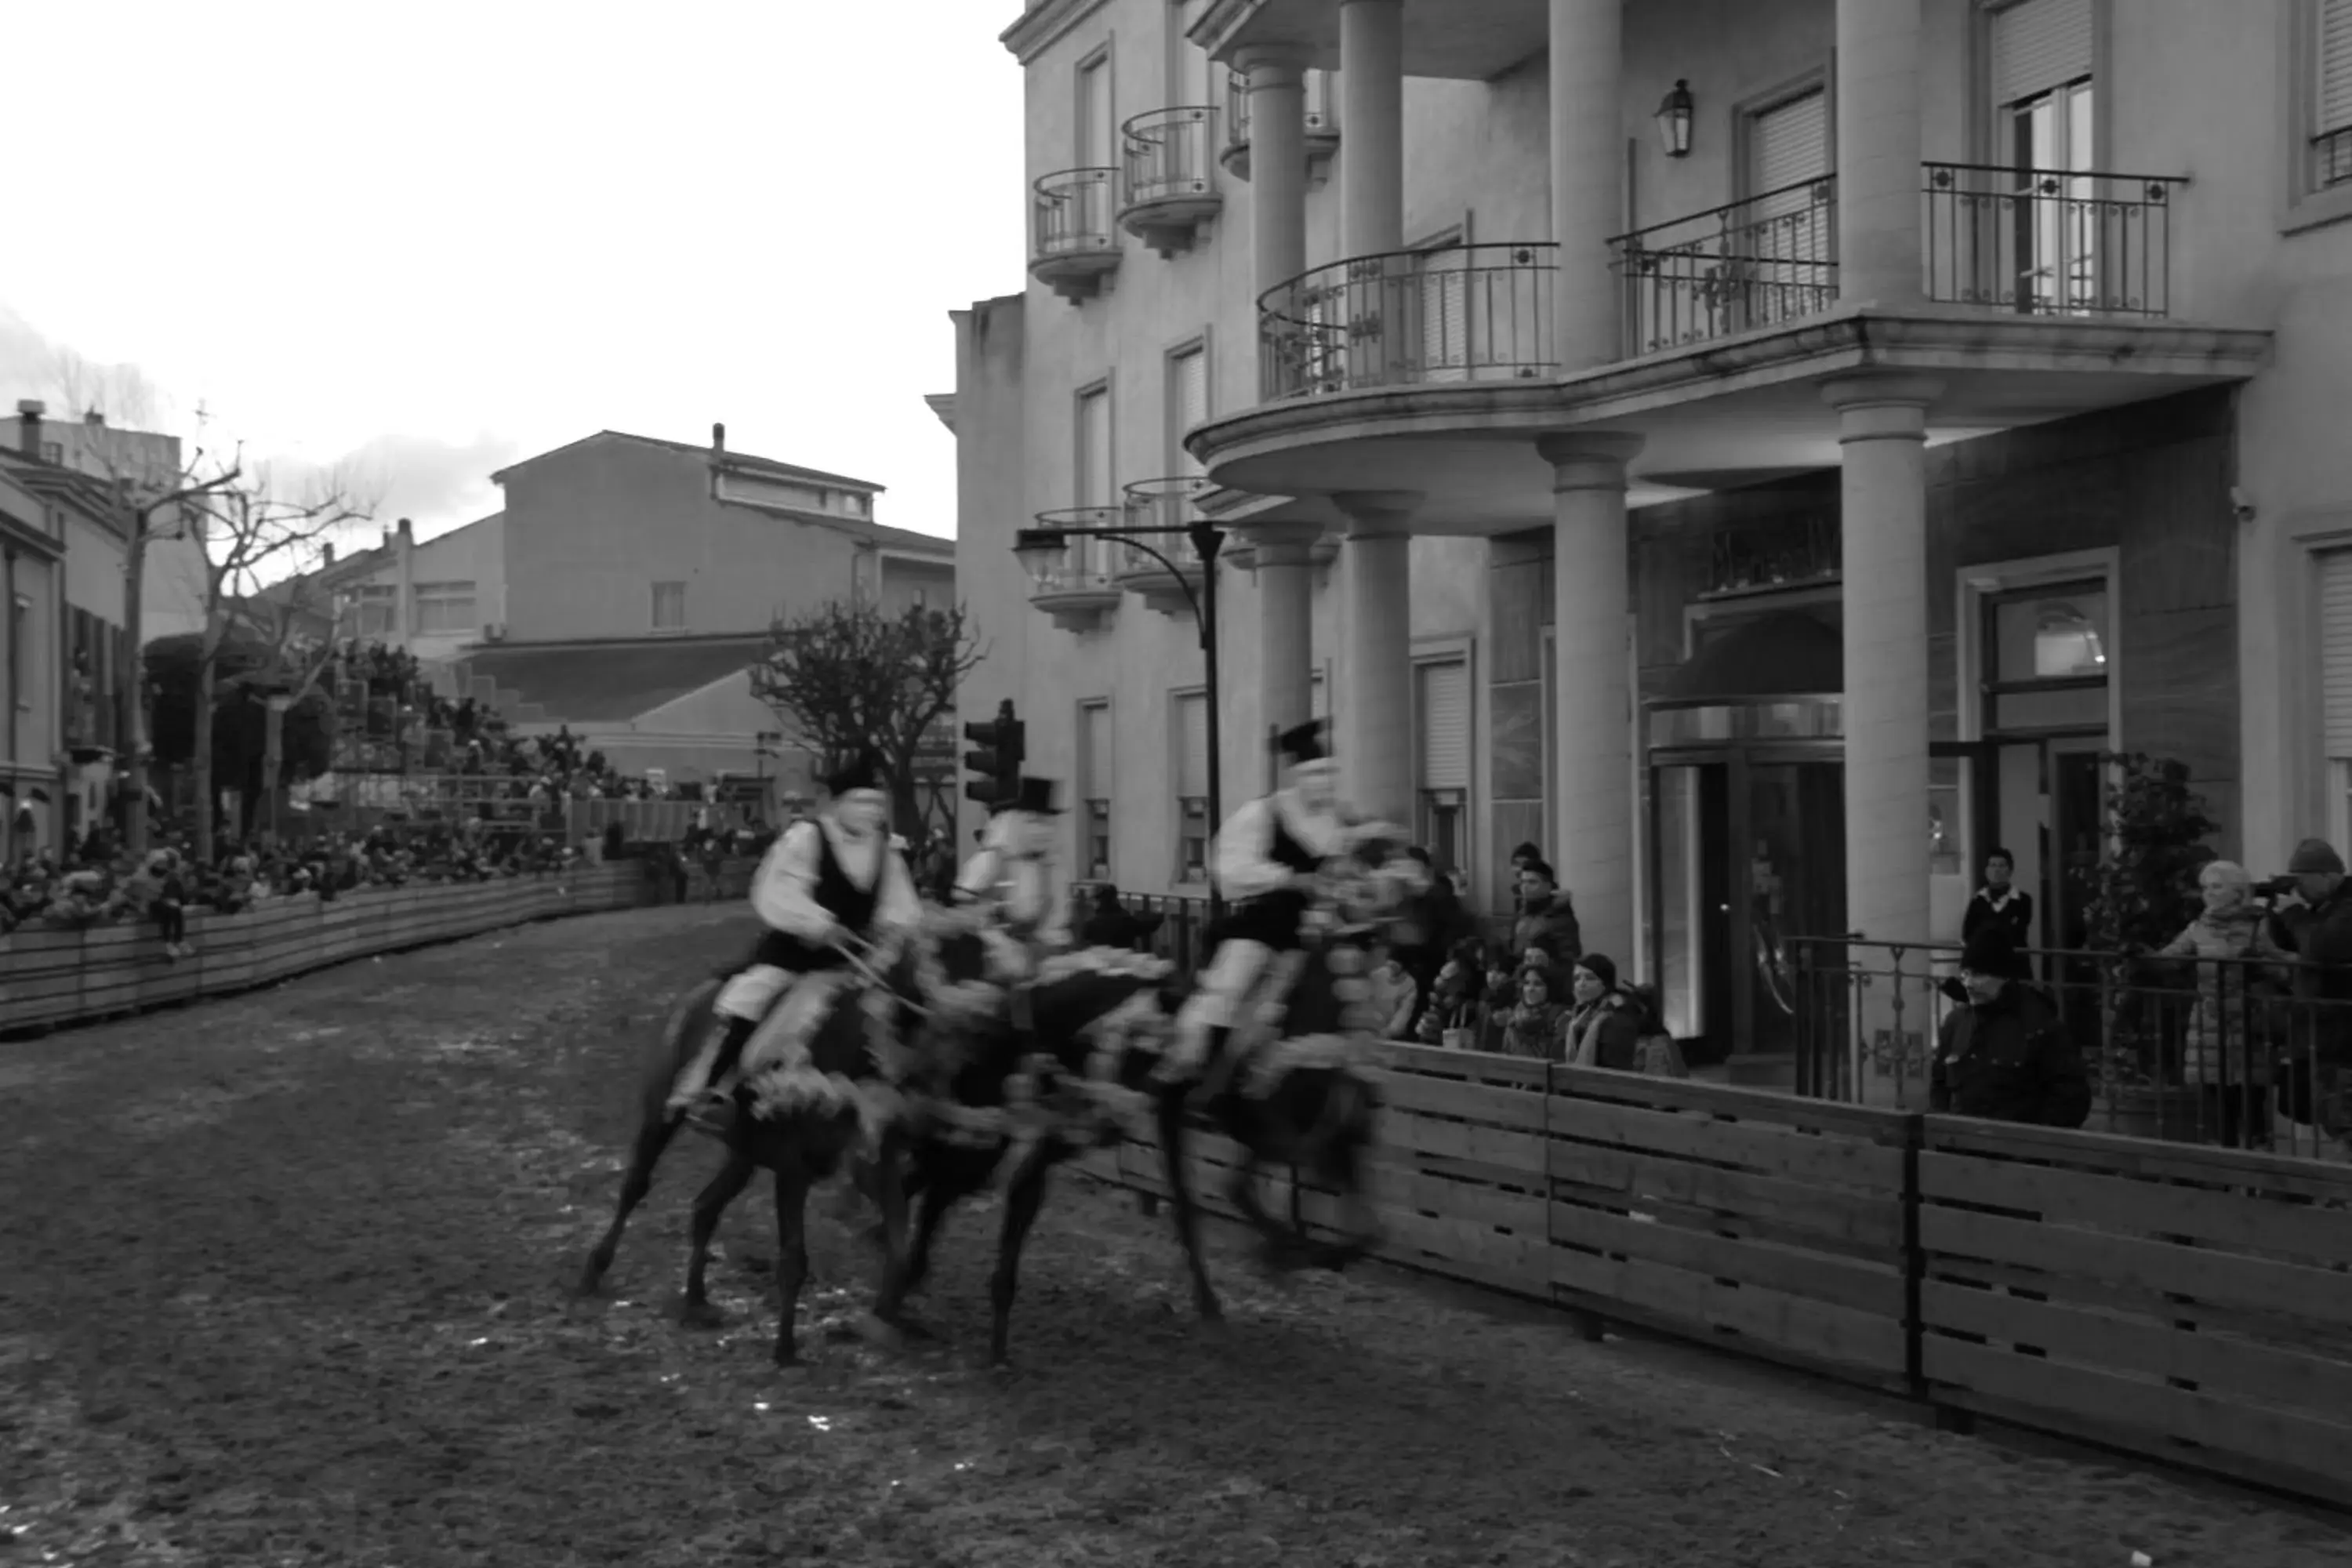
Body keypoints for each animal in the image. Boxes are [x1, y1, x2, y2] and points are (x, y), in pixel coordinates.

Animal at [574, 940, 931, 1363]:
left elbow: (898, 1243)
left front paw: (885, 1318)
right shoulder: (794, 1170)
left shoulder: (873, 1167)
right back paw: (595, 1269)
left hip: (743, 1155)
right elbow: (794, 1259)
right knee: (635, 1187)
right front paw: (785, 1348)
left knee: (705, 1208)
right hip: (662, 1116)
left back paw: (696, 1300)